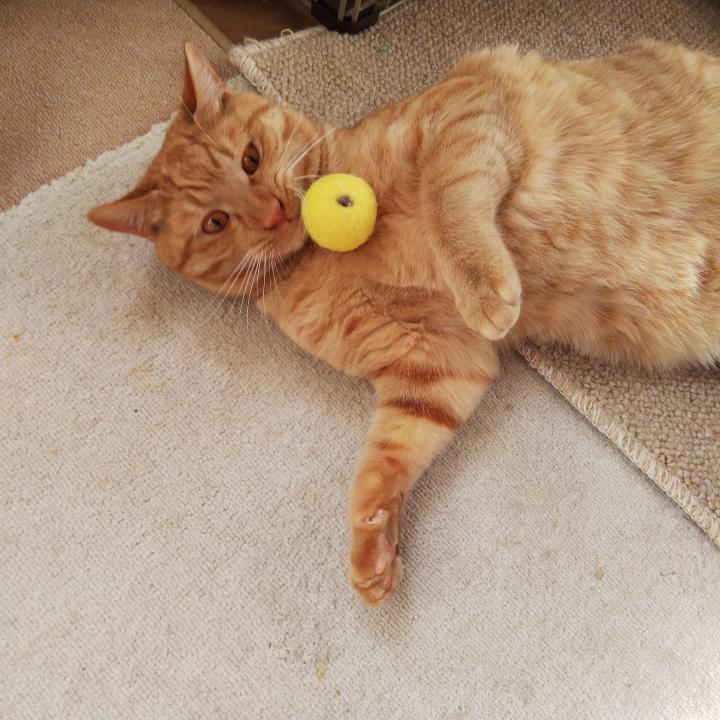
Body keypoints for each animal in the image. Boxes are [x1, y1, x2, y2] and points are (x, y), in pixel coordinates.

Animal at [89, 40, 720, 605]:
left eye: (250, 158)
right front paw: (373, 542)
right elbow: (384, 459)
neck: (322, 253)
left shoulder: (466, 111)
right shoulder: (434, 365)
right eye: (215, 222)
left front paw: (483, 287)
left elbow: (448, 203)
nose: (271, 210)